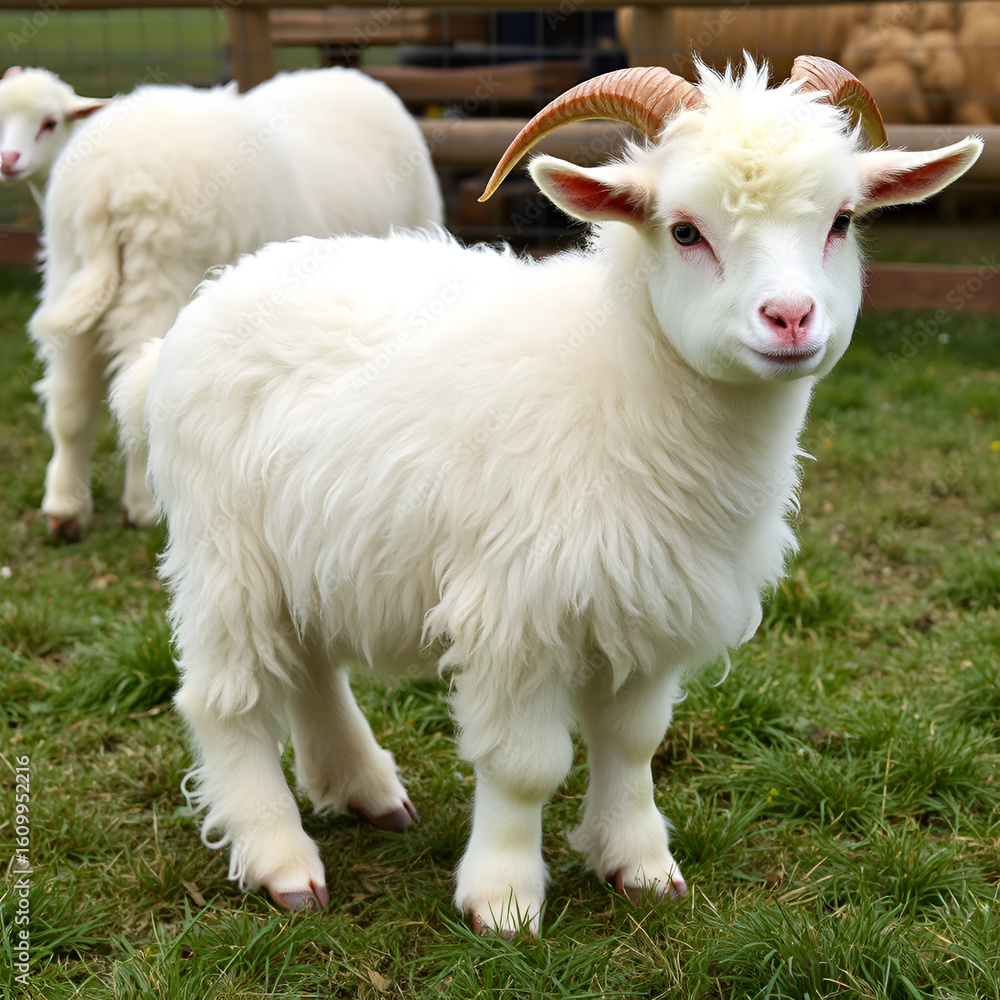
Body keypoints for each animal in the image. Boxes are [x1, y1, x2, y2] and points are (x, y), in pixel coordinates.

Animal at [30, 66, 442, 540]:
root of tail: (107, 182)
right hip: (159, 280)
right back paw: (143, 505)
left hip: (70, 273)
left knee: (70, 401)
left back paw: (65, 509)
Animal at [113, 56, 981, 935]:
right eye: (684, 230)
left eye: (842, 220)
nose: (792, 318)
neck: (617, 376)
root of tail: (187, 322)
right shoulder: (514, 613)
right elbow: (525, 765)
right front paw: (502, 900)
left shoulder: (651, 604)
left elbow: (632, 742)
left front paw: (639, 863)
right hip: (224, 551)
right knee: (225, 700)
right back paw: (280, 858)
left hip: (310, 544)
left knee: (311, 664)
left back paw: (364, 789)